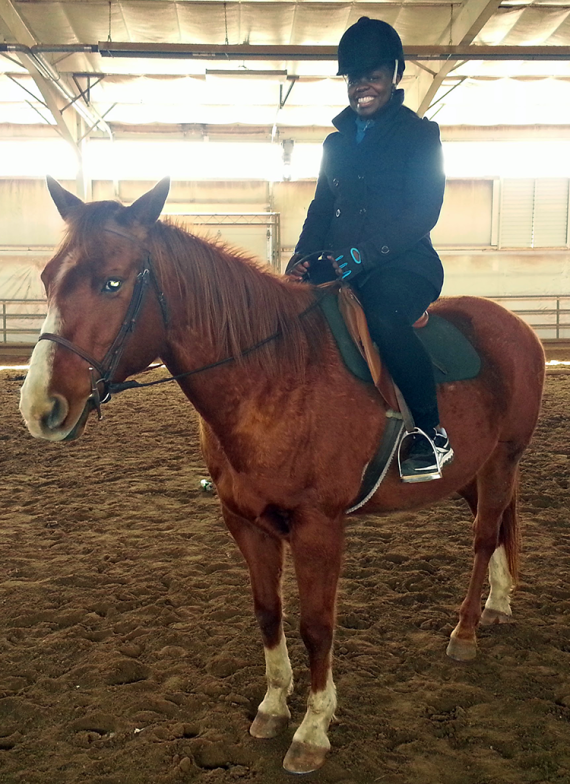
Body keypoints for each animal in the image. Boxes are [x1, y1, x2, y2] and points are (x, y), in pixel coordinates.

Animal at [19, 177, 545, 774]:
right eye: (48, 278)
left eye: (113, 282)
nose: (40, 408)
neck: (274, 377)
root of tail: (516, 326)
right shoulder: (247, 522)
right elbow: (268, 612)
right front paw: (272, 708)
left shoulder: (319, 527)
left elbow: (317, 625)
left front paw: (313, 731)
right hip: (469, 473)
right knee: (497, 526)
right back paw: (499, 604)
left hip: (502, 459)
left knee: (483, 537)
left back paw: (466, 630)